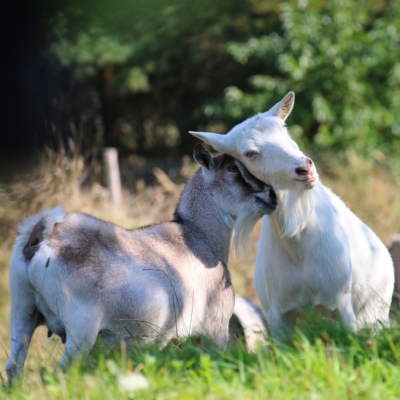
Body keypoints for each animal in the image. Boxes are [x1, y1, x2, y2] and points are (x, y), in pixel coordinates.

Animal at [5, 145, 278, 382]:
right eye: (232, 169)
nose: (272, 195)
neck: (198, 237)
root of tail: (41, 235)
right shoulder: (215, 330)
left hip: (22, 311)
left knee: (13, 367)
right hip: (80, 329)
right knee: (64, 370)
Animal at [190, 93, 394, 338]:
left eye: (284, 128)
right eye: (250, 153)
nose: (305, 168)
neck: (298, 243)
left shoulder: (343, 305)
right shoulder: (279, 315)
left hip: (375, 314)